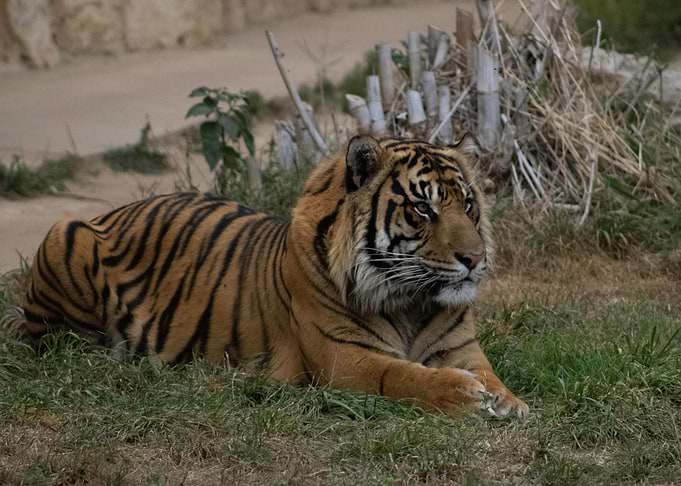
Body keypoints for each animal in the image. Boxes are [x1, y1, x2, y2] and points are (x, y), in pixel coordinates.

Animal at [14, 134, 528, 419]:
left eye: (467, 203)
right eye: (423, 208)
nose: (475, 258)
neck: (411, 301)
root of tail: (118, 209)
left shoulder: (461, 348)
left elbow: (491, 374)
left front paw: (509, 401)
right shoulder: (345, 359)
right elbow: (404, 376)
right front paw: (464, 394)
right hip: (64, 233)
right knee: (53, 342)